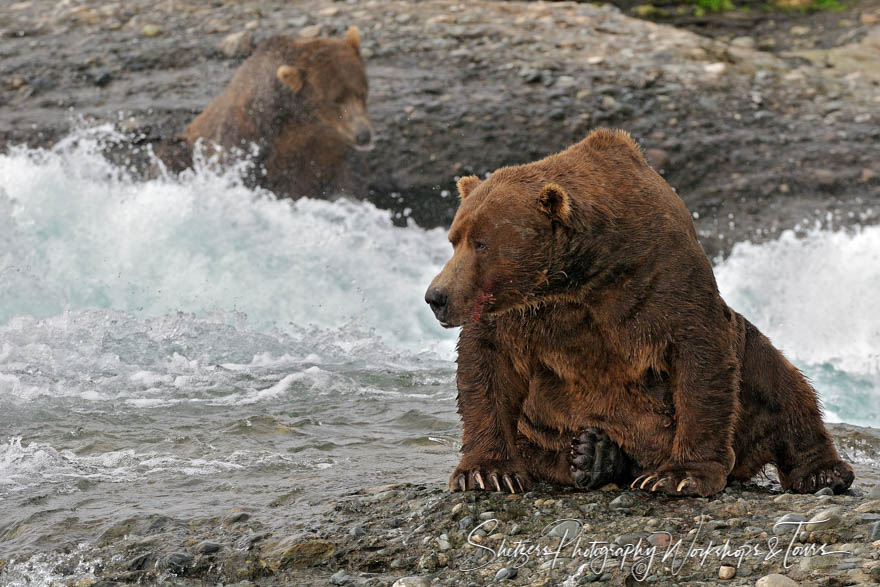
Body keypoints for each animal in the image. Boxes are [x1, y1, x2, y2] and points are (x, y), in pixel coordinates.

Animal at [426, 127, 852, 496]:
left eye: (482, 243)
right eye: (454, 238)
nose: (436, 296)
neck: (579, 275)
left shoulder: (660, 278)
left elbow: (700, 357)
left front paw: (681, 475)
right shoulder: (521, 315)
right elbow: (487, 369)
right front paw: (487, 472)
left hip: (749, 372)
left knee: (782, 387)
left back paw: (823, 472)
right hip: (542, 426)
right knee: (540, 442)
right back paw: (593, 456)